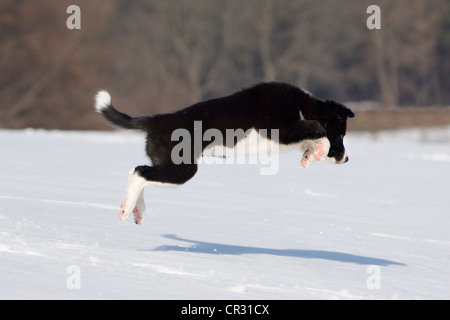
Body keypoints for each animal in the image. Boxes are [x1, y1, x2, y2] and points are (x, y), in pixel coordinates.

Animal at [96, 82, 356, 225]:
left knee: (140, 171)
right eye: (342, 134)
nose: (346, 159)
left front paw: (310, 156)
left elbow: (311, 137)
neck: (306, 105)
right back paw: (127, 210)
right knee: (139, 172)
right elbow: (316, 128)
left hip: (169, 164)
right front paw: (320, 148)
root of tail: (157, 120)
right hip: (183, 168)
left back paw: (136, 210)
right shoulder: (280, 128)